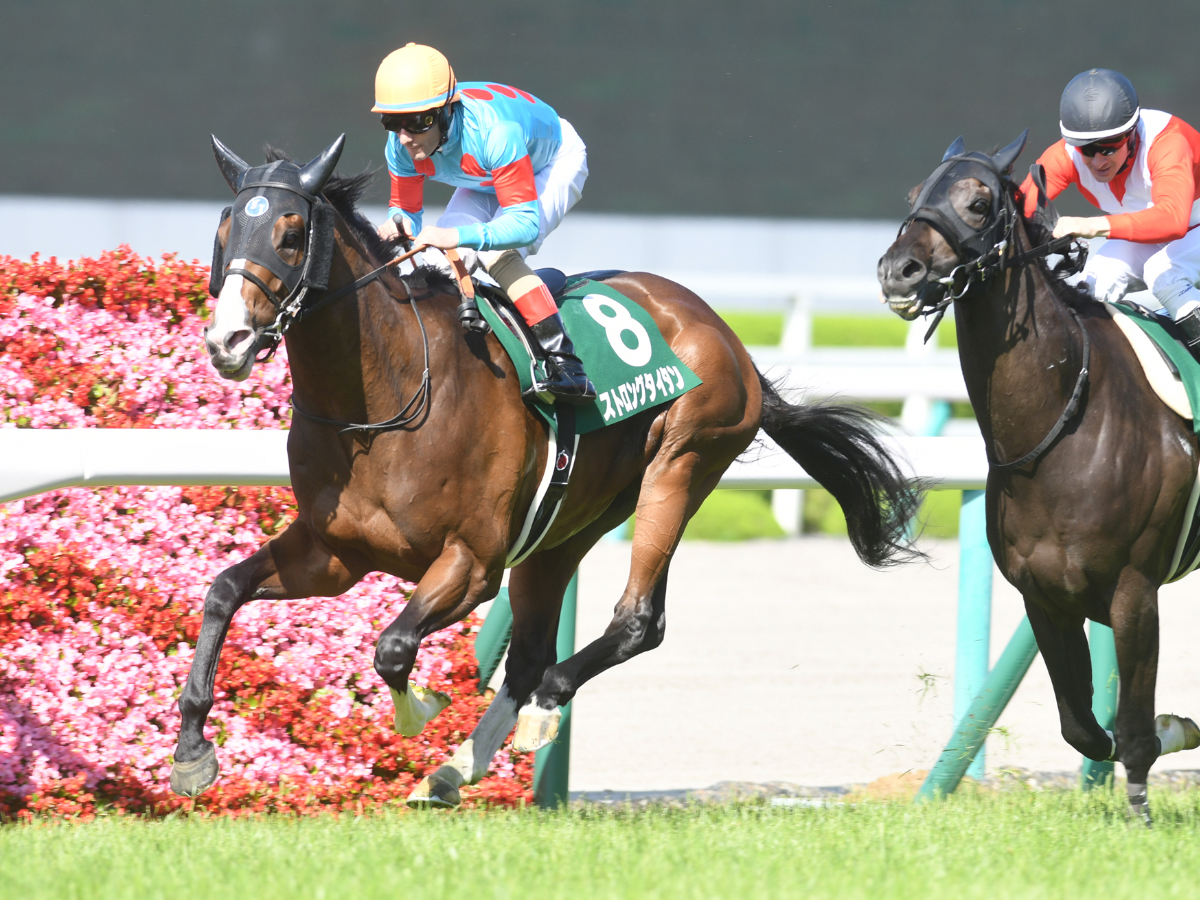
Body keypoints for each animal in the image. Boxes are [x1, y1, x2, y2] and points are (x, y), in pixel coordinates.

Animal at [170, 133, 921, 808]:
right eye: (225, 229)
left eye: (292, 234)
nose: (227, 339)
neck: (383, 403)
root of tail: (727, 334)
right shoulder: (334, 554)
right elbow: (222, 591)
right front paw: (191, 753)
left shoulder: (471, 562)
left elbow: (393, 647)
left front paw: (420, 711)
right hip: (565, 525)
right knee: (533, 649)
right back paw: (453, 771)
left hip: (680, 466)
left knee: (636, 622)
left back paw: (539, 711)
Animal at [877, 131, 1200, 823]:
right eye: (916, 194)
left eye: (979, 202)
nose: (898, 271)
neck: (1061, 425)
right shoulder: (1044, 594)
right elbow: (1085, 728)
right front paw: (1173, 727)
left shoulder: (1136, 590)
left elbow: (1133, 728)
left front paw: (1144, 797)